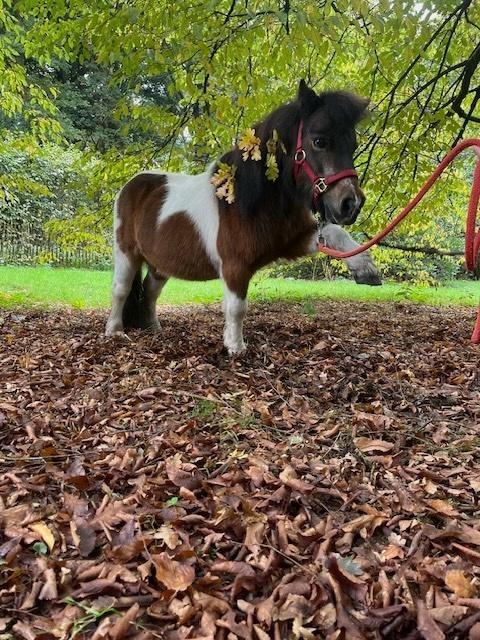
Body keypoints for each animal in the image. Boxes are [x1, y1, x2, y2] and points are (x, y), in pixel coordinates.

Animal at [105, 80, 381, 354]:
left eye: (353, 145)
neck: (248, 201)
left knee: (150, 291)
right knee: (121, 289)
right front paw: (236, 348)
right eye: (320, 141)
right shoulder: (235, 266)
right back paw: (114, 331)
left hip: (160, 264)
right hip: (126, 252)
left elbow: (335, 232)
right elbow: (237, 307)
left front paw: (365, 268)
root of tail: (133, 185)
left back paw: (152, 328)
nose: (351, 203)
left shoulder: (291, 243)